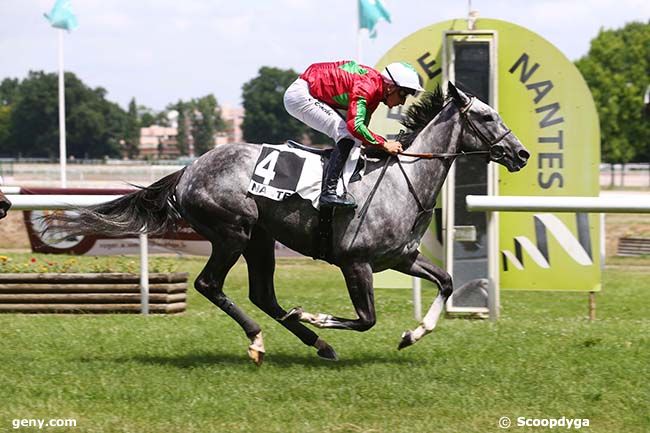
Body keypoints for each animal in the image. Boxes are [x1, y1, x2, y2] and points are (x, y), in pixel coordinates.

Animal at [46, 82, 528, 364]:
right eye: (486, 116)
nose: (521, 153)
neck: (400, 181)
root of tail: (188, 169)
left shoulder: (400, 258)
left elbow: (446, 282)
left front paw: (414, 333)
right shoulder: (355, 262)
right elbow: (366, 318)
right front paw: (315, 314)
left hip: (259, 239)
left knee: (262, 294)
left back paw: (317, 344)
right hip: (232, 232)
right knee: (210, 285)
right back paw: (263, 339)